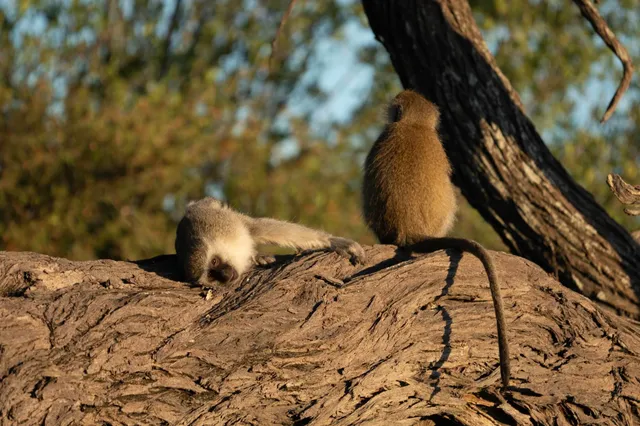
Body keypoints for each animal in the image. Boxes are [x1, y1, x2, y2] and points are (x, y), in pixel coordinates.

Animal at [175, 197, 366, 287]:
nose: (224, 275)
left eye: (214, 261)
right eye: (211, 275)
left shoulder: (230, 228)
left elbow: (258, 228)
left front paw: (333, 241)